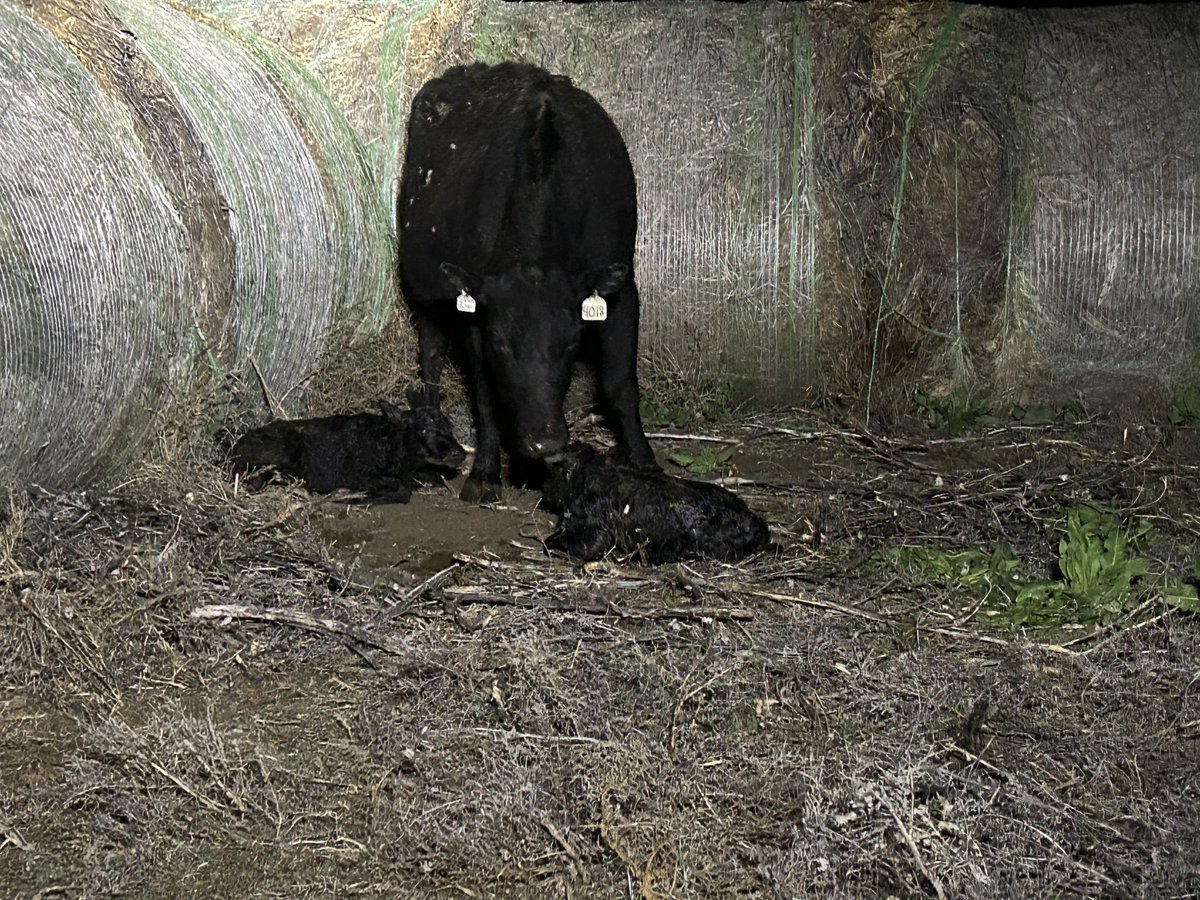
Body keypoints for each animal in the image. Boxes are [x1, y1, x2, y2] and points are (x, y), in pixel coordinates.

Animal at [226, 400, 465, 501]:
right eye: (423, 429)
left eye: (449, 427)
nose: (459, 453)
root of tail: (236, 446)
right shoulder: (357, 475)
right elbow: (402, 489)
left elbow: (433, 478)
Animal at [398, 60, 652, 504]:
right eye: (500, 343)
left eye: (572, 342)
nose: (543, 442)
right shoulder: (475, 310)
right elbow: (484, 393)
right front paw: (484, 471)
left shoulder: (621, 288)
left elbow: (620, 384)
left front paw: (644, 461)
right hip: (425, 292)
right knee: (430, 357)